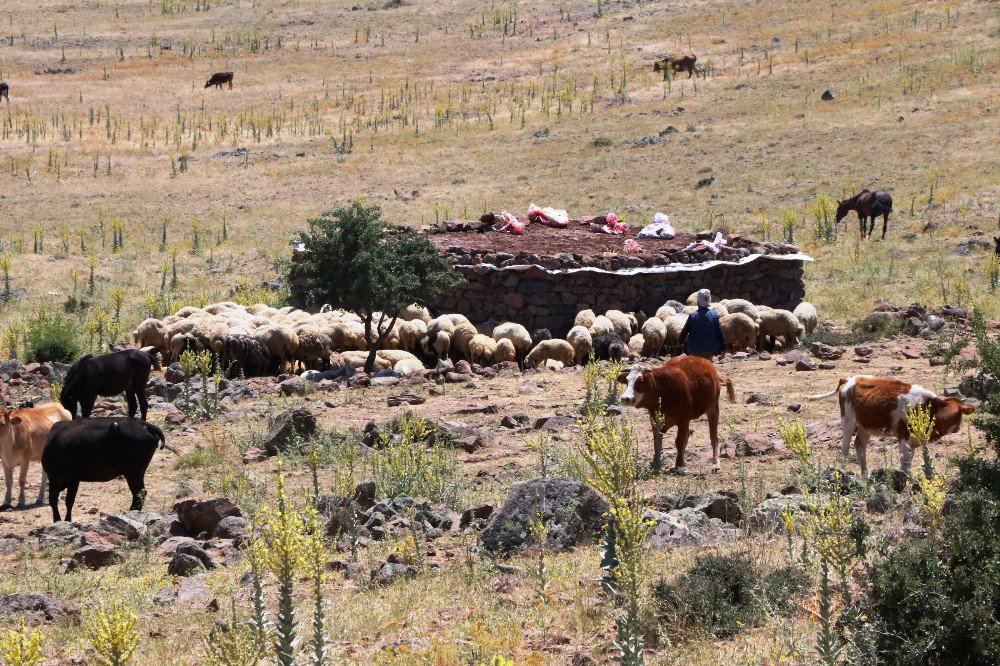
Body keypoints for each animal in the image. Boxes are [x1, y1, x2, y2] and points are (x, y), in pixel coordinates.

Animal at [42, 418, 172, 520]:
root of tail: (145, 425)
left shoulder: (54, 477)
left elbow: (53, 501)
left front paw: (57, 520)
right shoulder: (74, 480)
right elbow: (69, 501)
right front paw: (67, 520)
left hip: (134, 472)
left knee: (139, 493)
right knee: (140, 493)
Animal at [808, 374, 972, 478]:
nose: (958, 428)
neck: (930, 408)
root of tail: (849, 379)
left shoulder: (918, 439)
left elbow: (921, 458)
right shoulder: (904, 436)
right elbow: (905, 461)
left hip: (865, 425)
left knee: (859, 446)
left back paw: (865, 473)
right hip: (848, 421)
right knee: (845, 448)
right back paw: (843, 471)